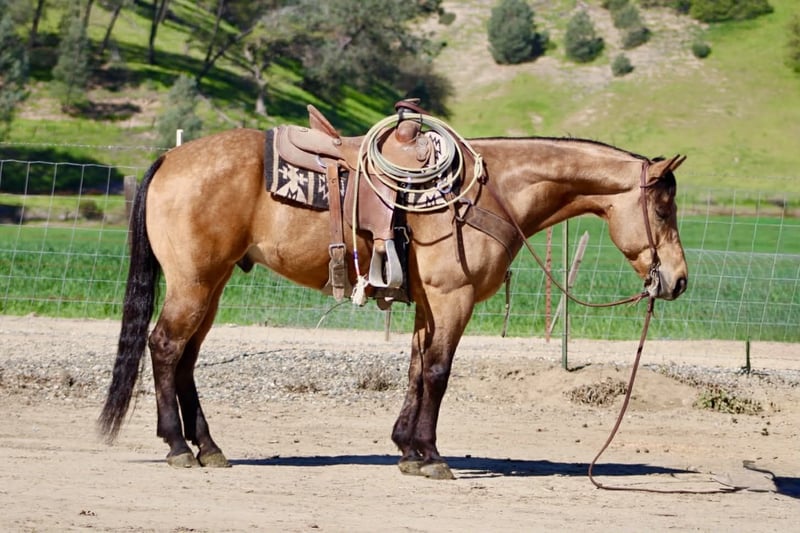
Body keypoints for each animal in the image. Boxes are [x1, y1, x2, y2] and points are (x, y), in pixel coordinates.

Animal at [98, 120, 688, 480]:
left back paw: (209, 447)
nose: (678, 281)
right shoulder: (453, 299)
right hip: (194, 283)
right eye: (663, 208)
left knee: (187, 358)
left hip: (211, 285)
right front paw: (431, 456)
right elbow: (438, 373)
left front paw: (406, 448)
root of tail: (170, 157)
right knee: (165, 347)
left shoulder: (429, 304)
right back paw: (178, 447)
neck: (489, 190)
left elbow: (415, 369)